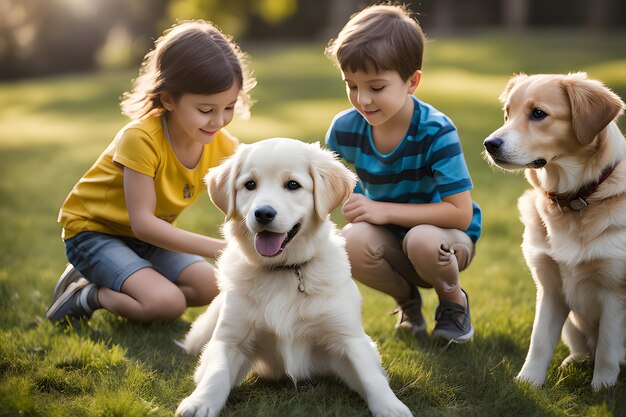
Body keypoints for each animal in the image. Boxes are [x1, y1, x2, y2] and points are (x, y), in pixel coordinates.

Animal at [173, 138, 412, 414]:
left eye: (293, 185)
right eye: (250, 184)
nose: (263, 213)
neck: (283, 271)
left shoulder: (349, 339)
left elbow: (371, 377)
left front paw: (391, 407)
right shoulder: (230, 339)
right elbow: (216, 372)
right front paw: (200, 402)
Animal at [482, 73, 624, 388]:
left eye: (538, 114)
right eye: (507, 113)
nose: (489, 144)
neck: (577, 199)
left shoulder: (614, 292)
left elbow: (608, 349)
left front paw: (602, 388)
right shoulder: (550, 287)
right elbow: (539, 341)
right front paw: (528, 382)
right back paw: (574, 361)